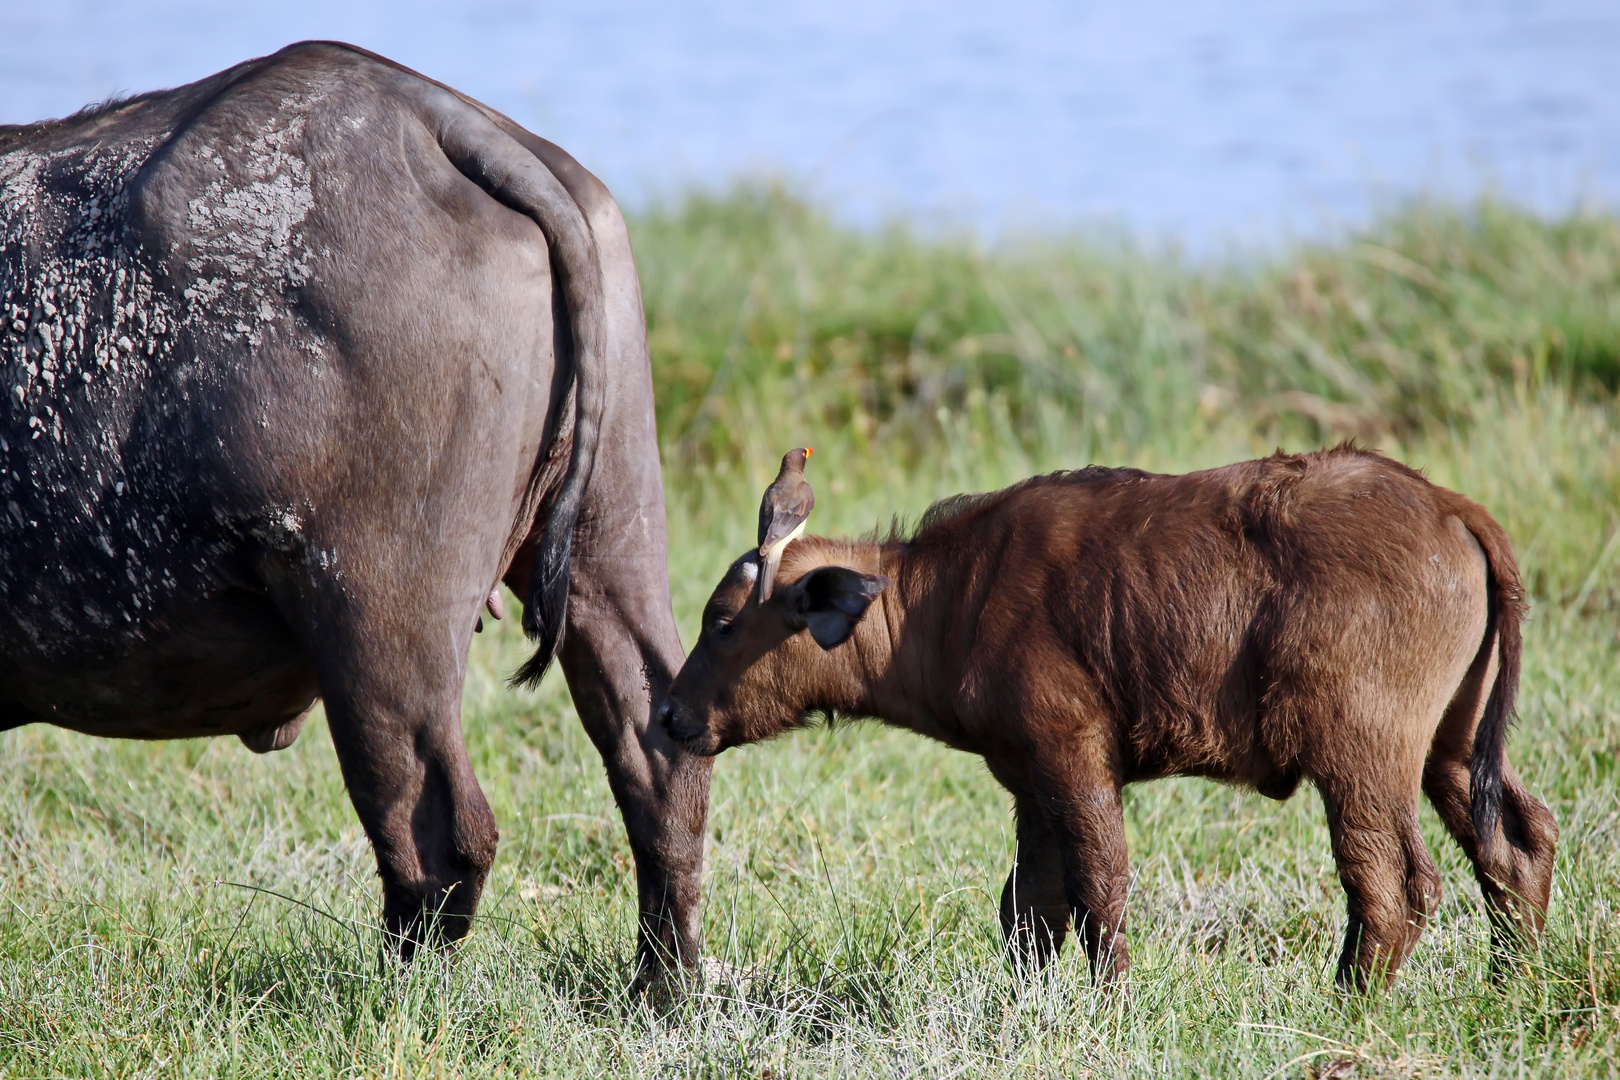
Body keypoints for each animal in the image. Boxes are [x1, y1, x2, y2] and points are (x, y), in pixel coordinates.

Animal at [1, 42, 709, 984]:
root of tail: (433, 114)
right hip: (608, 544)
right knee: (660, 762)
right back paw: (662, 989)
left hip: (377, 622)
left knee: (440, 833)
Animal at [657, 446, 1555, 990]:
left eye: (723, 622)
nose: (666, 714)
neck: (948, 600)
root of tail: (1447, 506)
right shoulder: (1031, 786)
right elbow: (1031, 906)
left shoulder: (1075, 761)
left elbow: (1099, 887)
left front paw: (1112, 1000)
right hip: (1449, 750)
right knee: (1519, 843)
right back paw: (1514, 981)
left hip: (1361, 760)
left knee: (1394, 887)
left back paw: (1343, 1007)